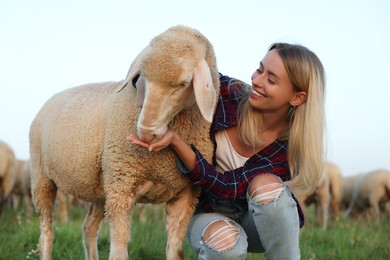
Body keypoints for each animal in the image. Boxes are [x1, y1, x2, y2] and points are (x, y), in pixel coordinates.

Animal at [29, 25, 219, 260]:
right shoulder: (122, 186)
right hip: (42, 177)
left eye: (184, 84)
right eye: (142, 78)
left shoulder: (185, 195)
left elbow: (175, 250)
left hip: (101, 188)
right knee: (46, 232)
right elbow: (119, 249)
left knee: (88, 228)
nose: (145, 133)